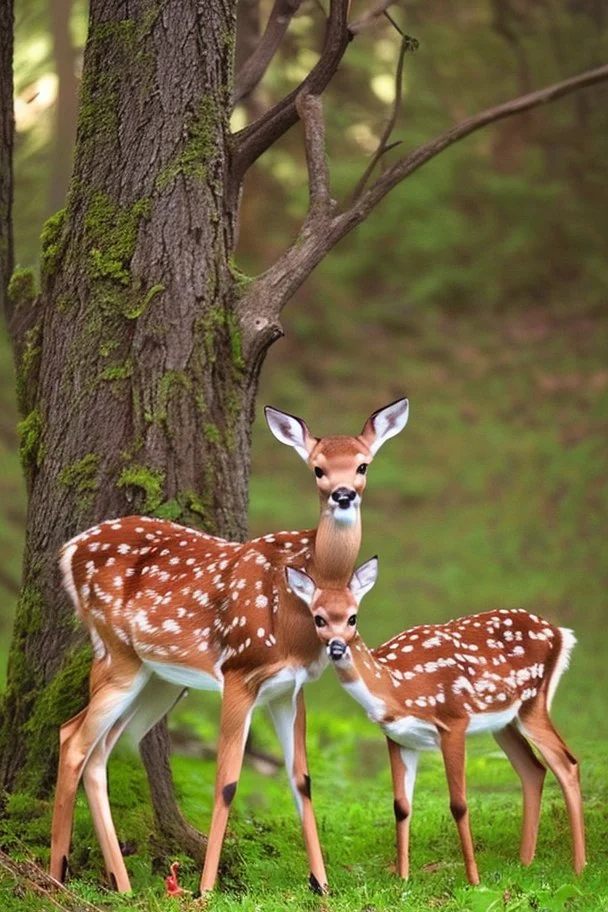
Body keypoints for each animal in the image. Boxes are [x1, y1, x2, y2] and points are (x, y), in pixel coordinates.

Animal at [48, 398, 408, 892]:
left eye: (362, 465)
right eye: (317, 468)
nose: (343, 495)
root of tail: (68, 551)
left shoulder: (290, 687)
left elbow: (302, 779)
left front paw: (321, 884)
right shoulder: (239, 669)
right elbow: (227, 781)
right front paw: (205, 888)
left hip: (157, 679)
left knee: (98, 749)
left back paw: (120, 884)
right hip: (116, 652)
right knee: (74, 740)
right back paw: (56, 877)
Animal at [288, 560, 588, 888]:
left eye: (353, 617)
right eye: (318, 619)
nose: (337, 648)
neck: (395, 688)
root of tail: (561, 633)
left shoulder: (454, 721)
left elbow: (459, 804)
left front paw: (474, 880)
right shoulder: (398, 737)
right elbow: (401, 806)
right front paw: (402, 879)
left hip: (533, 703)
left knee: (567, 763)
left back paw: (579, 867)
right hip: (504, 723)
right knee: (533, 769)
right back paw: (525, 862)